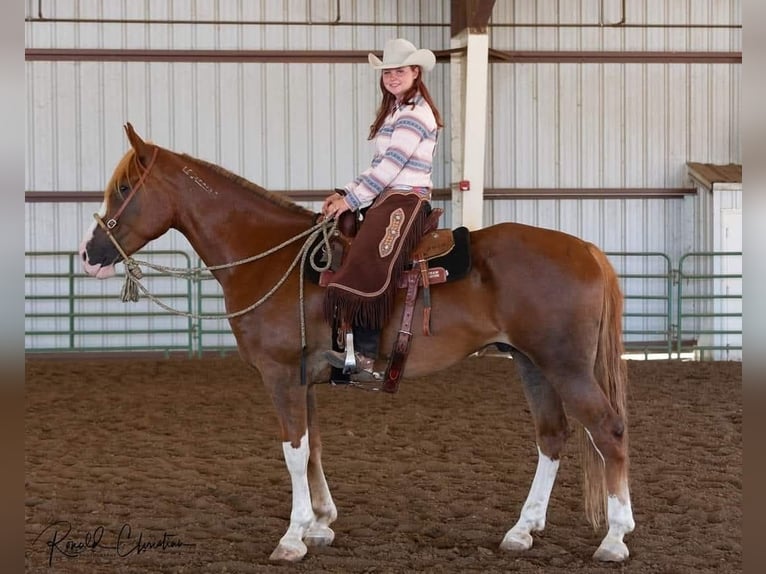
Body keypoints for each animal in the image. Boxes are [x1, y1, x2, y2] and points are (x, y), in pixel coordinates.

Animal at [78, 124, 636, 564]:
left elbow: (293, 450)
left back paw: (614, 538)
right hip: (531, 363)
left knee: (607, 429)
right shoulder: (304, 377)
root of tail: (587, 250)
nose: (88, 254)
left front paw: (293, 536)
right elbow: (313, 448)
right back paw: (522, 530)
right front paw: (321, 523)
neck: (270, 259)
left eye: (124, 186)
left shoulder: (280, 374)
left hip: (565, 366)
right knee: (552, 435)